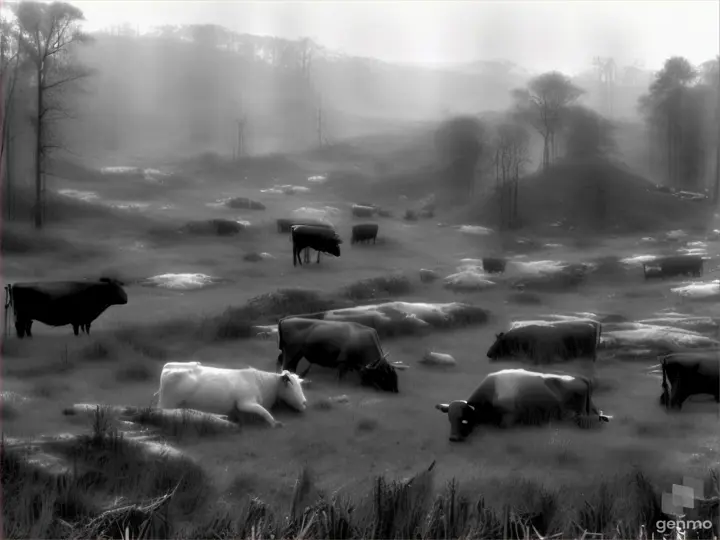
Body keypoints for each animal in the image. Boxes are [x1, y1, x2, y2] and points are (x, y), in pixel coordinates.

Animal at [155, 360, 306, 428]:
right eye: (290, 384)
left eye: (300, 383)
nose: (305, 402)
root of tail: (168, 366)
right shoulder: (245, 403)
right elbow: (264, 412)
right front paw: (276, 423)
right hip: (168, 404)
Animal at [436, 370, 612, 440]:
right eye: (449, 419)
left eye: (464, 419)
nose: (453, 438)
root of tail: (581, 378)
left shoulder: (509, 417)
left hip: (579, 414)